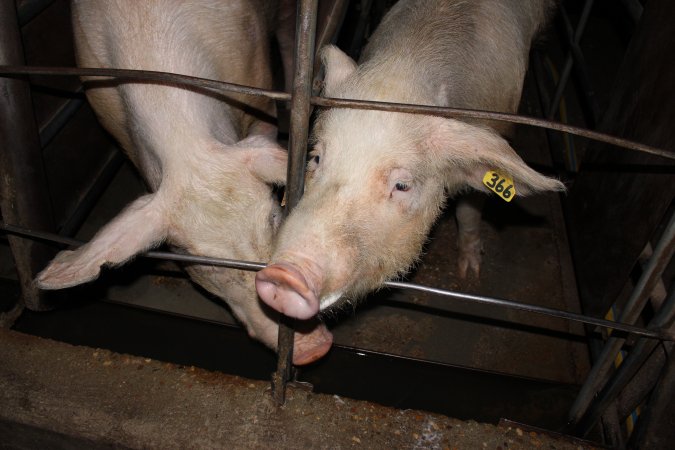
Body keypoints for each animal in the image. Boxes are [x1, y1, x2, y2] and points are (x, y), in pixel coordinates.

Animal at [256, 0, 564, 324]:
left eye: (402, 185)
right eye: (316, 157)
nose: (286, 273)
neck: (406, 68)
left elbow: (470, 208)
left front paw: (469, 274)